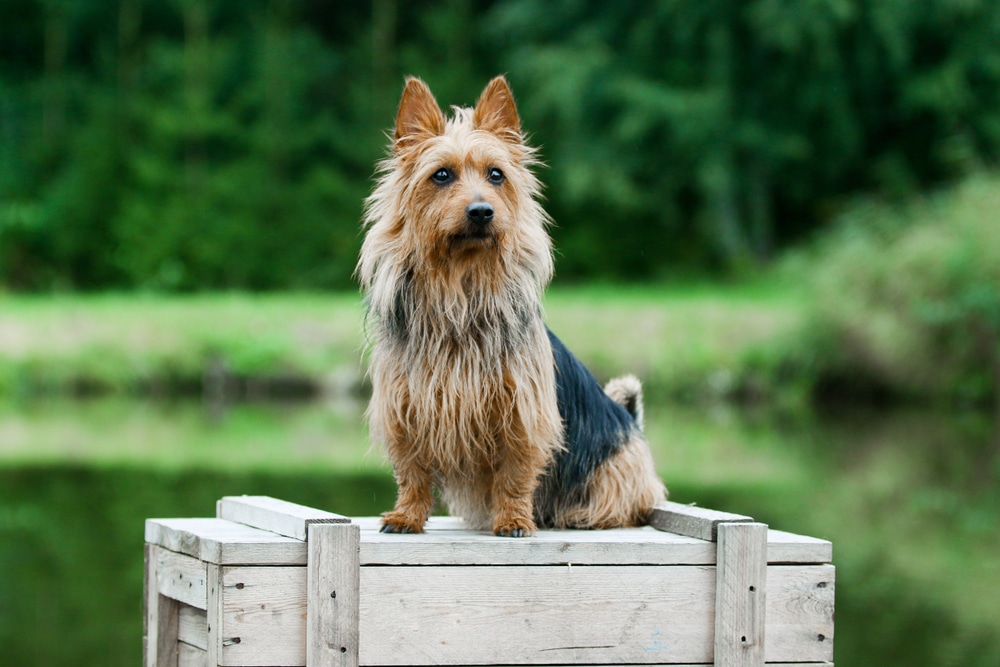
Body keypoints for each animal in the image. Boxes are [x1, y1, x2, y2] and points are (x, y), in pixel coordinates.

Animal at [358, 75, 664, 536]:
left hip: (619, 468)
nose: (482, 211)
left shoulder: (523, 410)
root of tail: (631, 422)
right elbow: (412, 470)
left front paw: (514, 519)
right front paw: (407, 514)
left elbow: (516, 470)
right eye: (441, 175)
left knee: (631, 503)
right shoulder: (406, 405)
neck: (461, 290)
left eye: (496, 175)